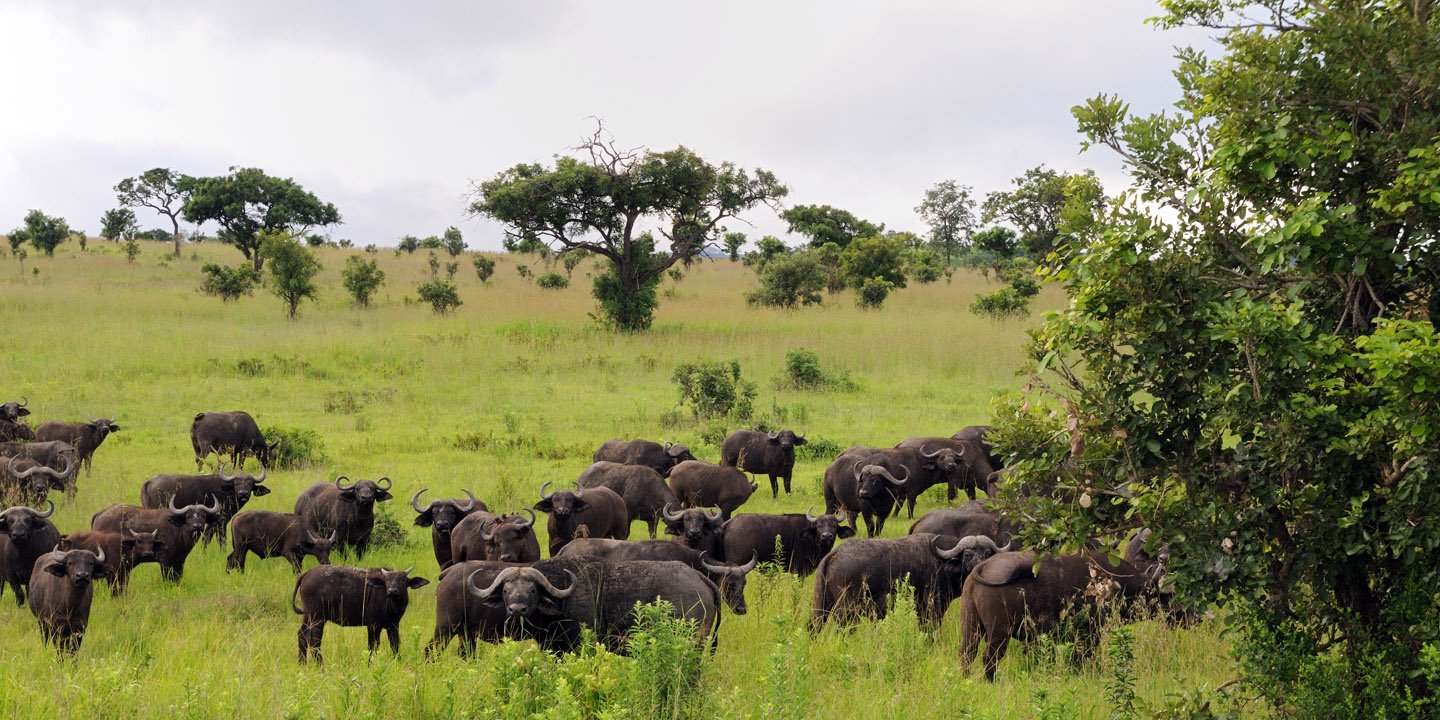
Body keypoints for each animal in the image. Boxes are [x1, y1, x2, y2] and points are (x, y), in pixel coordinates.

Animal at [91, 497, 221, 581]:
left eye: (203, 516)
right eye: (188, 516)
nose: (196, 526)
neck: (179, 532)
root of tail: (100, 513)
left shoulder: (179, 562)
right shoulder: (165, 562)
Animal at [140, 464, 270, 545]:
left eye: (250, 483)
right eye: (237, 483)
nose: (243, 493)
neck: (227, 491)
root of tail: (150, 481)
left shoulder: (210, 523)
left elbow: (205, 539)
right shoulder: (221, 522)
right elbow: (221, 540)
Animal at [292, 565, 430, 663]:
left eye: (402, 579)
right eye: (387, 580)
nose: (392, 591)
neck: (391, 605)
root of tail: (307, 573)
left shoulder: (393, 625)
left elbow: (395, 645)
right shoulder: (373, 625)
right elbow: (372, 647)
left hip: (308, 616)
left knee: (302, 635)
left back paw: (302, 663)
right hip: (317, 617)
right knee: (314, 641)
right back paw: (321, 666)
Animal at [811, 533, 1006, 632]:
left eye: (988, 553)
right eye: (967, 554)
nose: (981, 566)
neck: (941, 561)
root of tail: (835, 554)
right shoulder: (931, 605)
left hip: (821, 605)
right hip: (848, 608)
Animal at [958, 549, 1166, 681]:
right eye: (1156, 593)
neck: (1112, 581)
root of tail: (983, 566)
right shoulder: (1090, 633)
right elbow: (1084, 657)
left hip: (970, 627)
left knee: (966, 654)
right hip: (999, 632)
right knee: (989, 658)